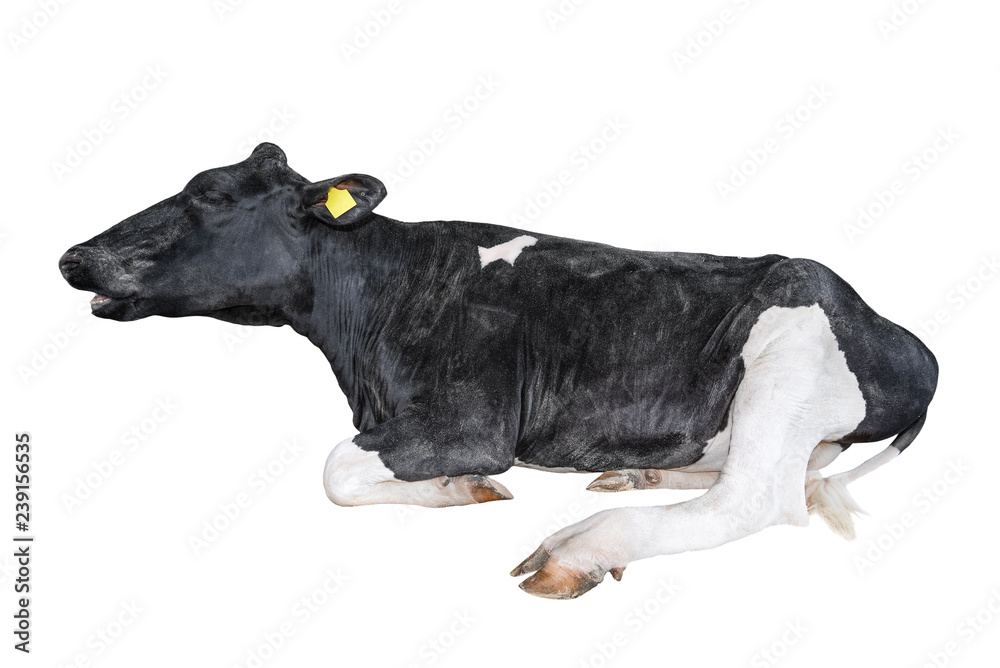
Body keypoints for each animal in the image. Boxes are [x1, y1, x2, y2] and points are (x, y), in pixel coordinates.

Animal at [59, 143, 938, 599]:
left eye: (208, 193)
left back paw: (577, 549)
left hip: (789, 354)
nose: (73, 256)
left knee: (761, 500)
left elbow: (336, 469)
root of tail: (899, 332)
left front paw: (458, 488)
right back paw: (633, 477)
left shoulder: (472, 420)